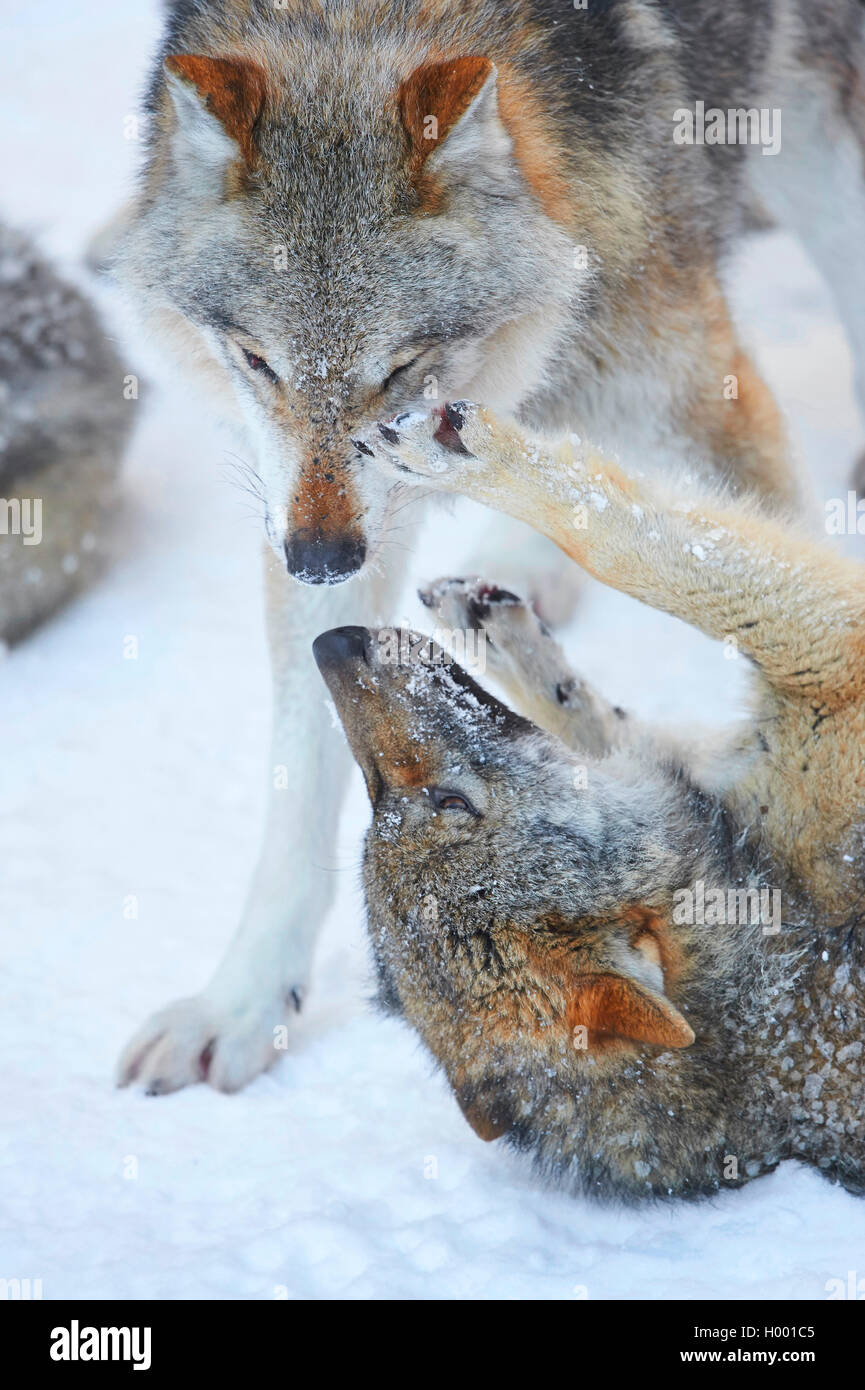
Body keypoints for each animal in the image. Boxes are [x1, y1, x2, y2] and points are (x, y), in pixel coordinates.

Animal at [116, 0, 865, 1093]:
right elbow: (303, 773)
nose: (320, 562)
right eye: (257, 361)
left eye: (399, 365)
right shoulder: (320, 514)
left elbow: (761, 602)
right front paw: (243, 1004)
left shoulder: (704, 404)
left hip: (817, 138)